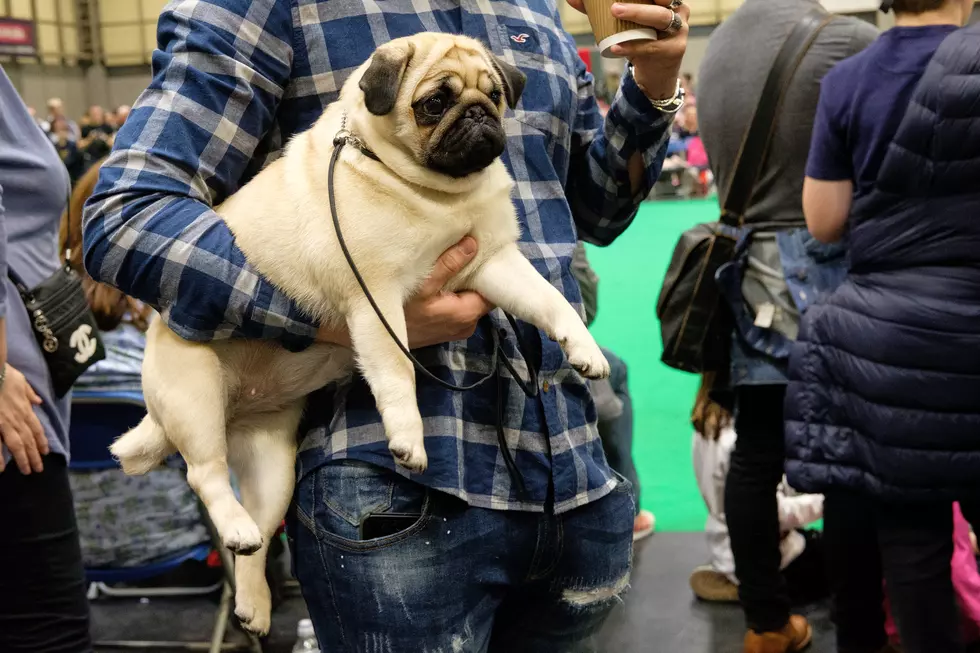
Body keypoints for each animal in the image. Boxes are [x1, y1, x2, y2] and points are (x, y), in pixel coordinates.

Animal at [111, 33, 608, 636]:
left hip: (274, 469)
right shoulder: (376, 300)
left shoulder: (494, 263)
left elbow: (551, 302)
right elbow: (396, 374)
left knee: (257, 540)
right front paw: (408, 439)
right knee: (205, 476)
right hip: (196, 396)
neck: (437, 194)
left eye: (494, 95)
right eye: (434, 103)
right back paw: (232, 525)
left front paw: (582, 348)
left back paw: (254, 602)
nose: (477, 114)